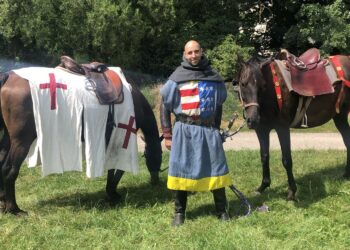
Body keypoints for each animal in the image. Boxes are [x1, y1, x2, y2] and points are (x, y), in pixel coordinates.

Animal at [0, 64, 163, 215]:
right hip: (21, 142)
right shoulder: (123, 138)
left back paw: (3, 203)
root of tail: (8, 76)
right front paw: (113, 193)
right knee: (10, 170)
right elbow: (118, 168)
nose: (155, 181)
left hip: (8, 140)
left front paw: (110, 191)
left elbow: (111, 167)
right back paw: (14, 209)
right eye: (158, 156)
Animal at [234, 51, 350, 200]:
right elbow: (264, 157)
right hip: (340, 117)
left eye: (262, 86)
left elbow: (286, 159)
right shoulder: (261, 130)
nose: (252, 119)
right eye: (243, 84)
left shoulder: (282, 128)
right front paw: (263, 187)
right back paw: (346, 174)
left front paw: (291, 192)